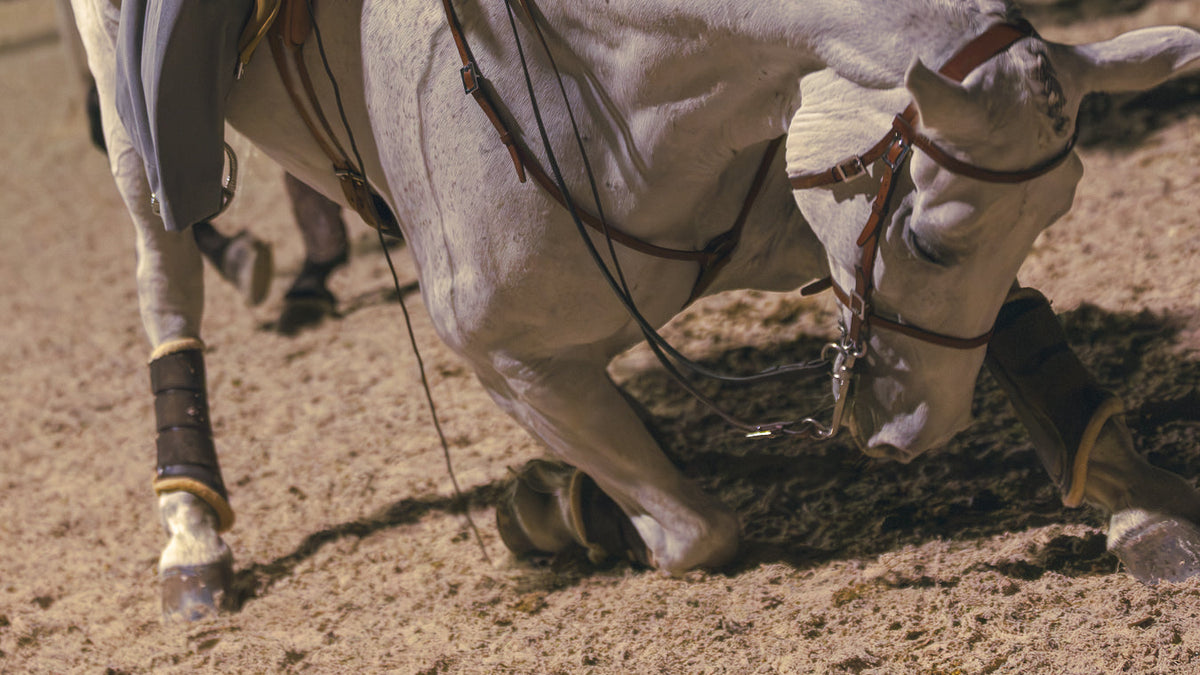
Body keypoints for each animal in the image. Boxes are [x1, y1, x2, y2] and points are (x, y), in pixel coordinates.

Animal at [68, 0, 1200, 620]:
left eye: (1056, 211)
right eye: (926, 238)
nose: (914, 435)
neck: (607, 82)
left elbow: (1021, 332)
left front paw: (1141, 506)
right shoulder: (505, 357)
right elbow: (698, 532)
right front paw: (563, 510)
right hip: (133, 129)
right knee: (165, 274)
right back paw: (193, 540)